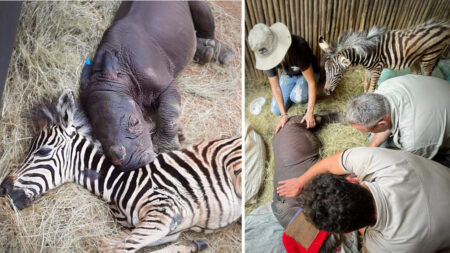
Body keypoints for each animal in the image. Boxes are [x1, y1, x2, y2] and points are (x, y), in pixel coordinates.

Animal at [0, 92, 243, 252]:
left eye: (43, 151)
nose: (3, 189)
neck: (119, 183)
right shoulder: (167, 228)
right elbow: (119, 244)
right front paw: (194, 244)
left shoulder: (163, 213)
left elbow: (115, 248)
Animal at [320, 20, 450, 95]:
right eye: (325, 71)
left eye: (337, 74)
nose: (326, 91)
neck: (365, 52)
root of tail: (443, 26)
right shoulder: (368, 70)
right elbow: (366, 84)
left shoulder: (377, 69)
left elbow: (371, 88)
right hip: (416, 59)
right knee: (418, 74)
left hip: (429, 58)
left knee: (428, 75)